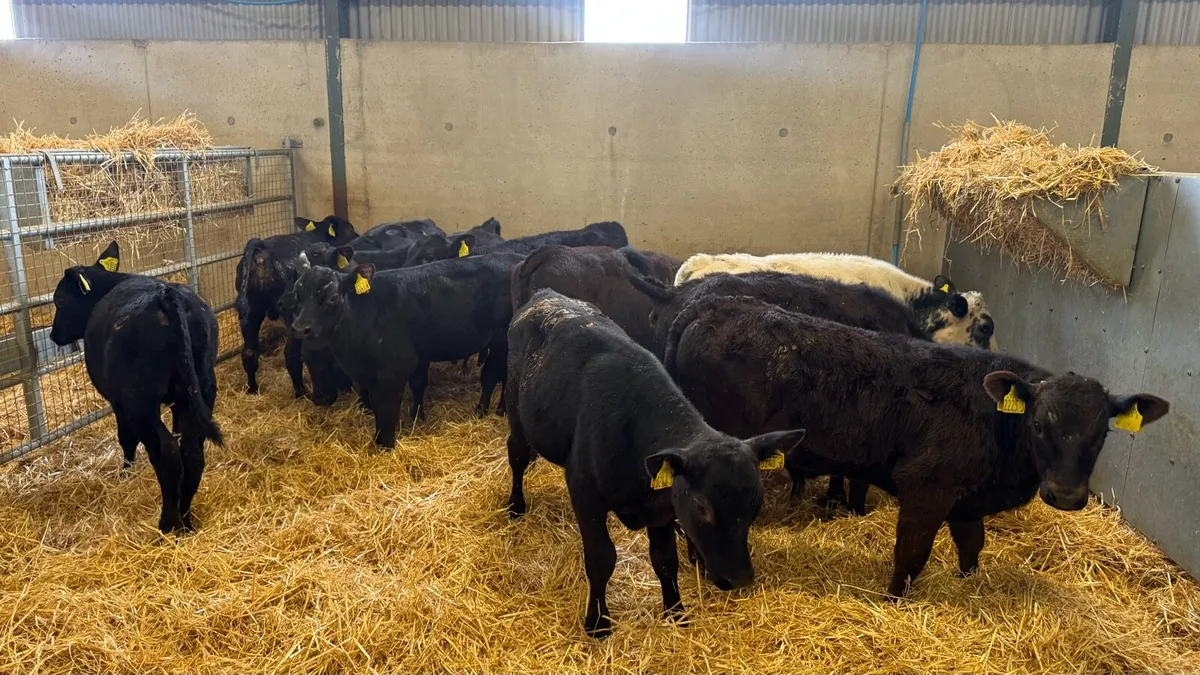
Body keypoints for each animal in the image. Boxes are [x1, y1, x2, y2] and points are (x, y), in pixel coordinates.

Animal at [48, 242, 224, 534]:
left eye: (60, 301)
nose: (53, 335)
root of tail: (166, 295)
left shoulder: (118, 402)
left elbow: (126, 438)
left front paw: (127, 470)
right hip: (202, 389)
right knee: (191, 452)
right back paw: (186, 520)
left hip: (140, 402)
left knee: (167, 454)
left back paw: (169, 524)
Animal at [235, 215, 358, 395]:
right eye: (349, 229)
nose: (357, 237)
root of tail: (261, 250)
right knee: (291, 354)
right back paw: (300, 392)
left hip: (250, 310)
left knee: (249, 352)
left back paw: (252, 389)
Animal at [288, 252, 524, 447]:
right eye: (297, 296)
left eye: (332, 298)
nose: (300, 328)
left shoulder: (397, 367)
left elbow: (387, 406)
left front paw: (384, 444)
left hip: (501, 339)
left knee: (493, 374)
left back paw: (485, 411)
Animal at [504, 289, 806, 638]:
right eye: (701, 507)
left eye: (756, 504)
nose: (739, 579)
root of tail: (546, 295)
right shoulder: (586, 493)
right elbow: (601, 558)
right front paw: (598, 622)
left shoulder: (662, 509)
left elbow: (665, 560)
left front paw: (675, 611)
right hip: (515, 409)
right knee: (517, 455)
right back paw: (515, 505)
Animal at [665, 294, 1169, 598]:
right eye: (1040, 425)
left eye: (1102, 434)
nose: (1065, 496)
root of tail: (711, 304)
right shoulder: (926, 488)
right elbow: (911, 554)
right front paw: (893, 599)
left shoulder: (966, 499)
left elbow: (971, 546)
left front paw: (968, 584)